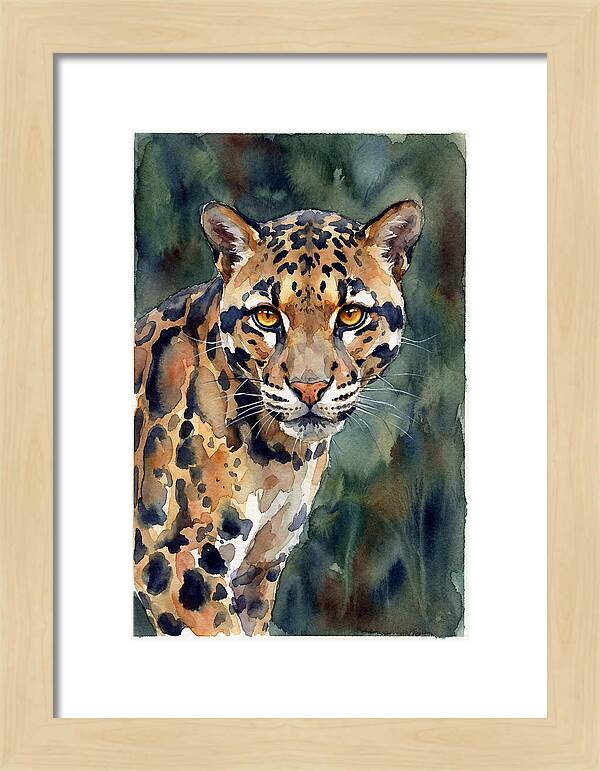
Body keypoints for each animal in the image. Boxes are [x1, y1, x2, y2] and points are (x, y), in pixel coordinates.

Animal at [134, 199, 424, 636]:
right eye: (267, 317)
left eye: (351, 315)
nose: (309, 387)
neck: (279, 456)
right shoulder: (176, 560)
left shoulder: (258, 569)